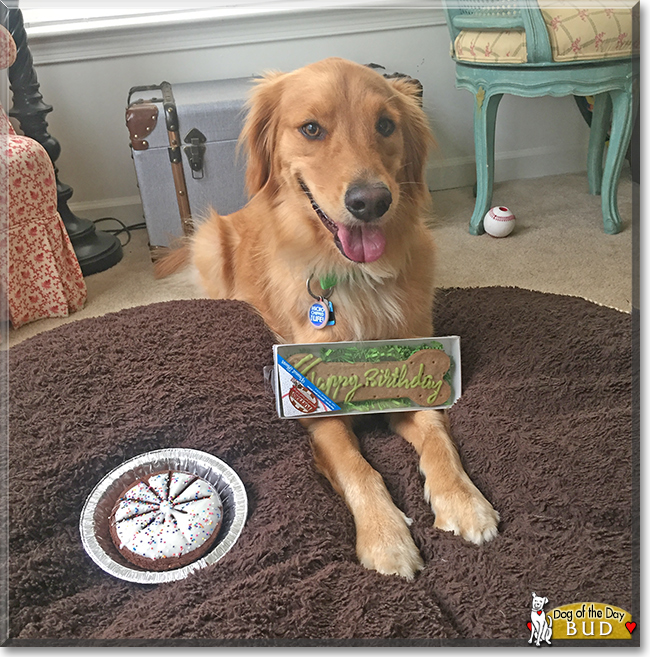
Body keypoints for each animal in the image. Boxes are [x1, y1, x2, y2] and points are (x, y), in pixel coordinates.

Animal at [156, 57, 496, 580]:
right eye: (311, 129)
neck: (356, 278)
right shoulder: (316, 411)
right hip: (211, 244)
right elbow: (357, 467)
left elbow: (439, 437)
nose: (371, 201)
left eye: (386, 125)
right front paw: (385, 536)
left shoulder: (414, 380)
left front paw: (463, 501)